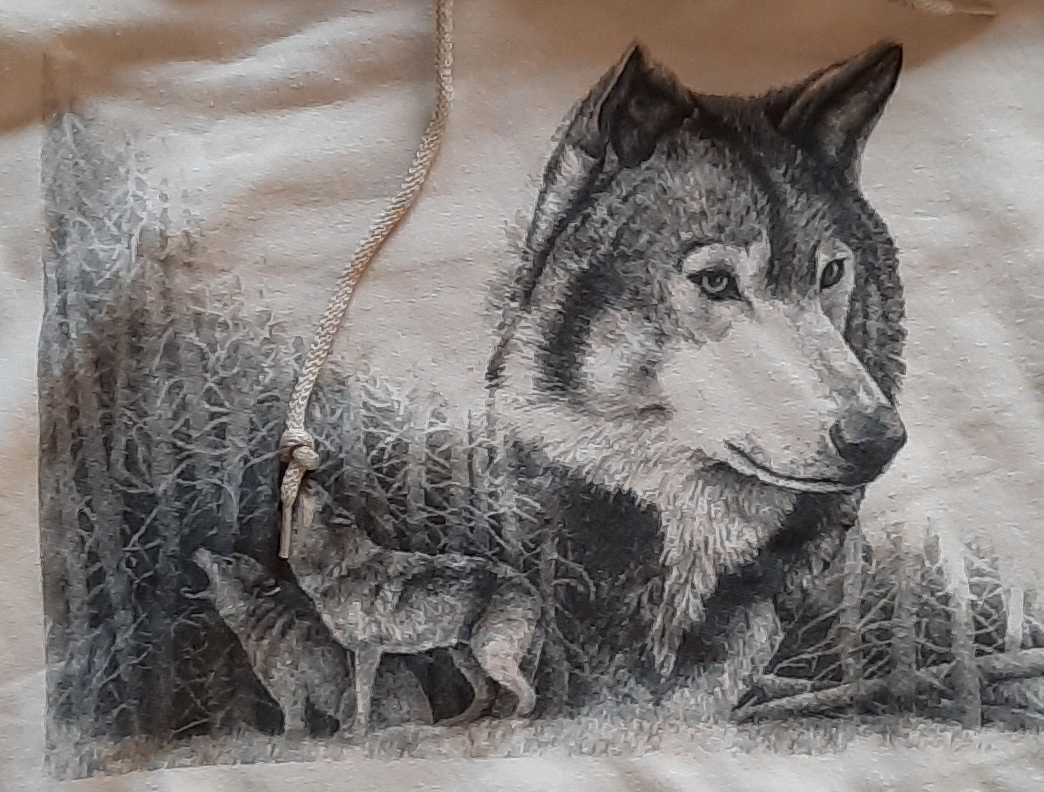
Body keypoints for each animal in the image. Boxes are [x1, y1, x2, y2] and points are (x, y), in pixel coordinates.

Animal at [191, 548, 434, 737]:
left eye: (228, 562)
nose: (198, 550)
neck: (262, 618)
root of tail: (424, 713)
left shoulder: (289, 686)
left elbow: (293, 722)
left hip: (350, 701)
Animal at [286, 479, 541, 734]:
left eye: (315, 492)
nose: (307, 480)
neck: (340, 568)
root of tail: (533, 589)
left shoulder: (368, 648)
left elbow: (363, 694)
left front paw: (358, 731)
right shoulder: (353, 651)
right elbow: (354, 693)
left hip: (488, 653)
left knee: (528, 695)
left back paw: (514, 719)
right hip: (464, 655)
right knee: (487, 693)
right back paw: (454, 722)